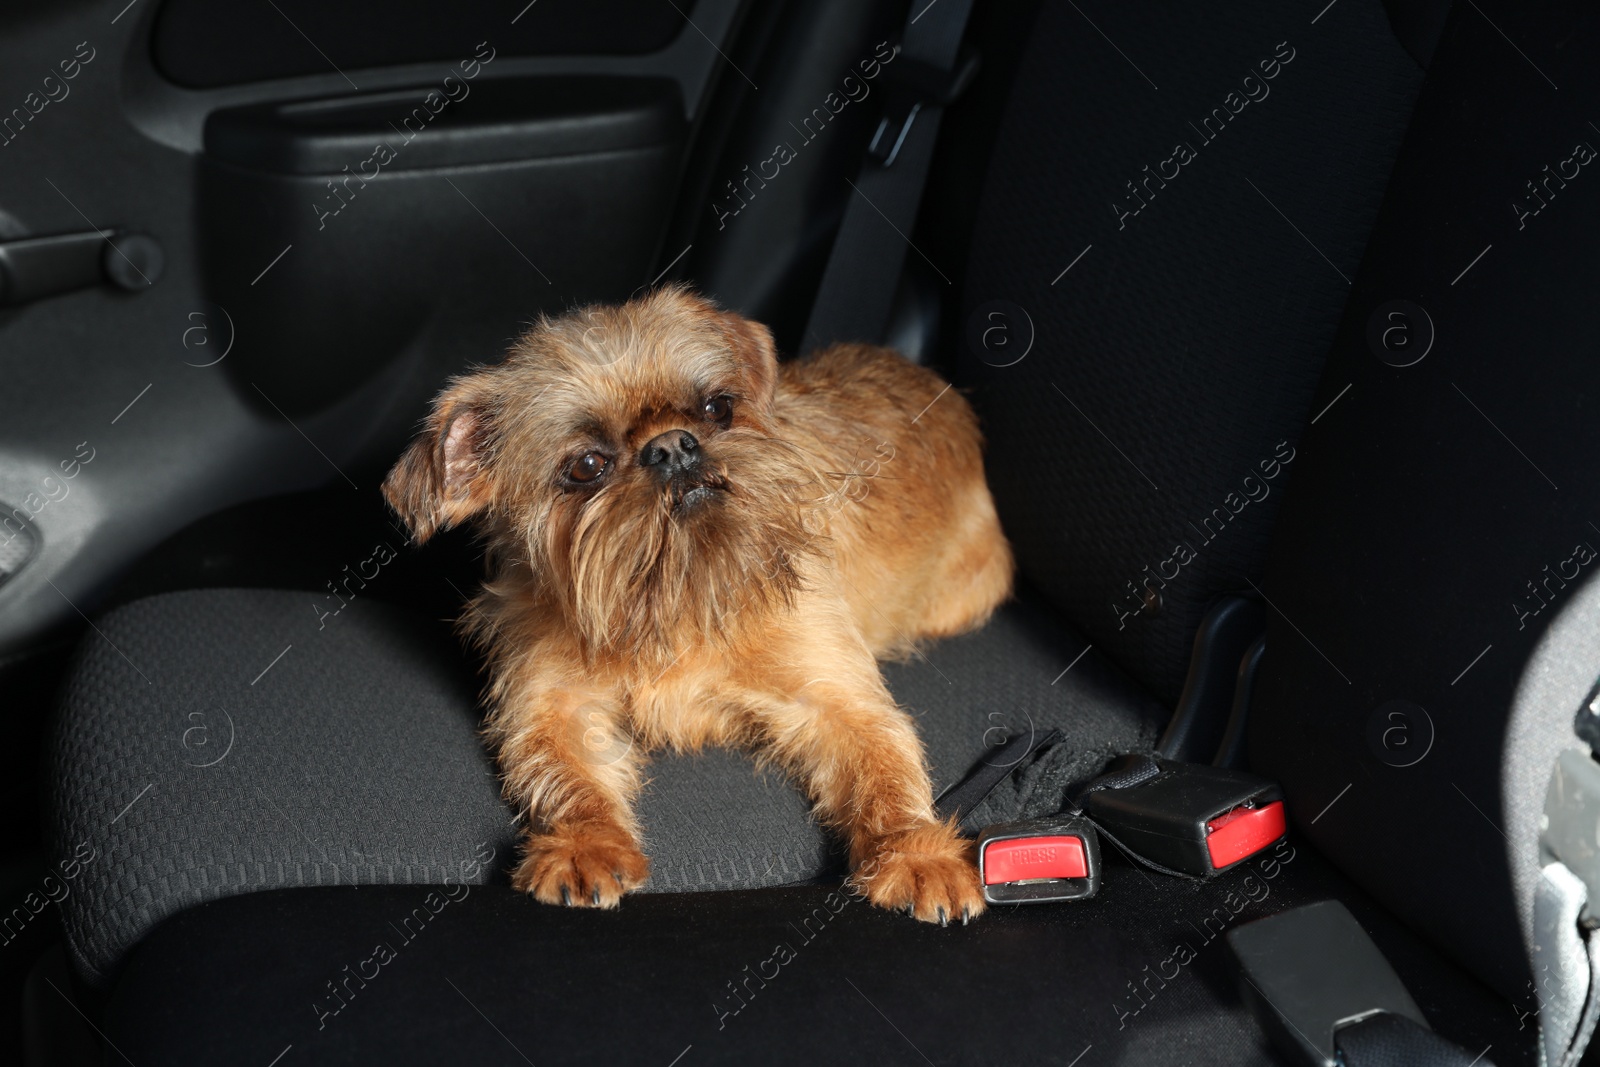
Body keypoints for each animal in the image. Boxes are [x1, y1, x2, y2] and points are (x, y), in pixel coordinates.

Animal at [384, 287, 1011, 921]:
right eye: (586, 467)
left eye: (718, 409)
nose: (671, 446)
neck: (675, 591)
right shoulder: (555, 708)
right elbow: (569, 780)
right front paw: (586, 844)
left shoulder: (838, 701)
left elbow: (885, 774)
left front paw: (915, 853)